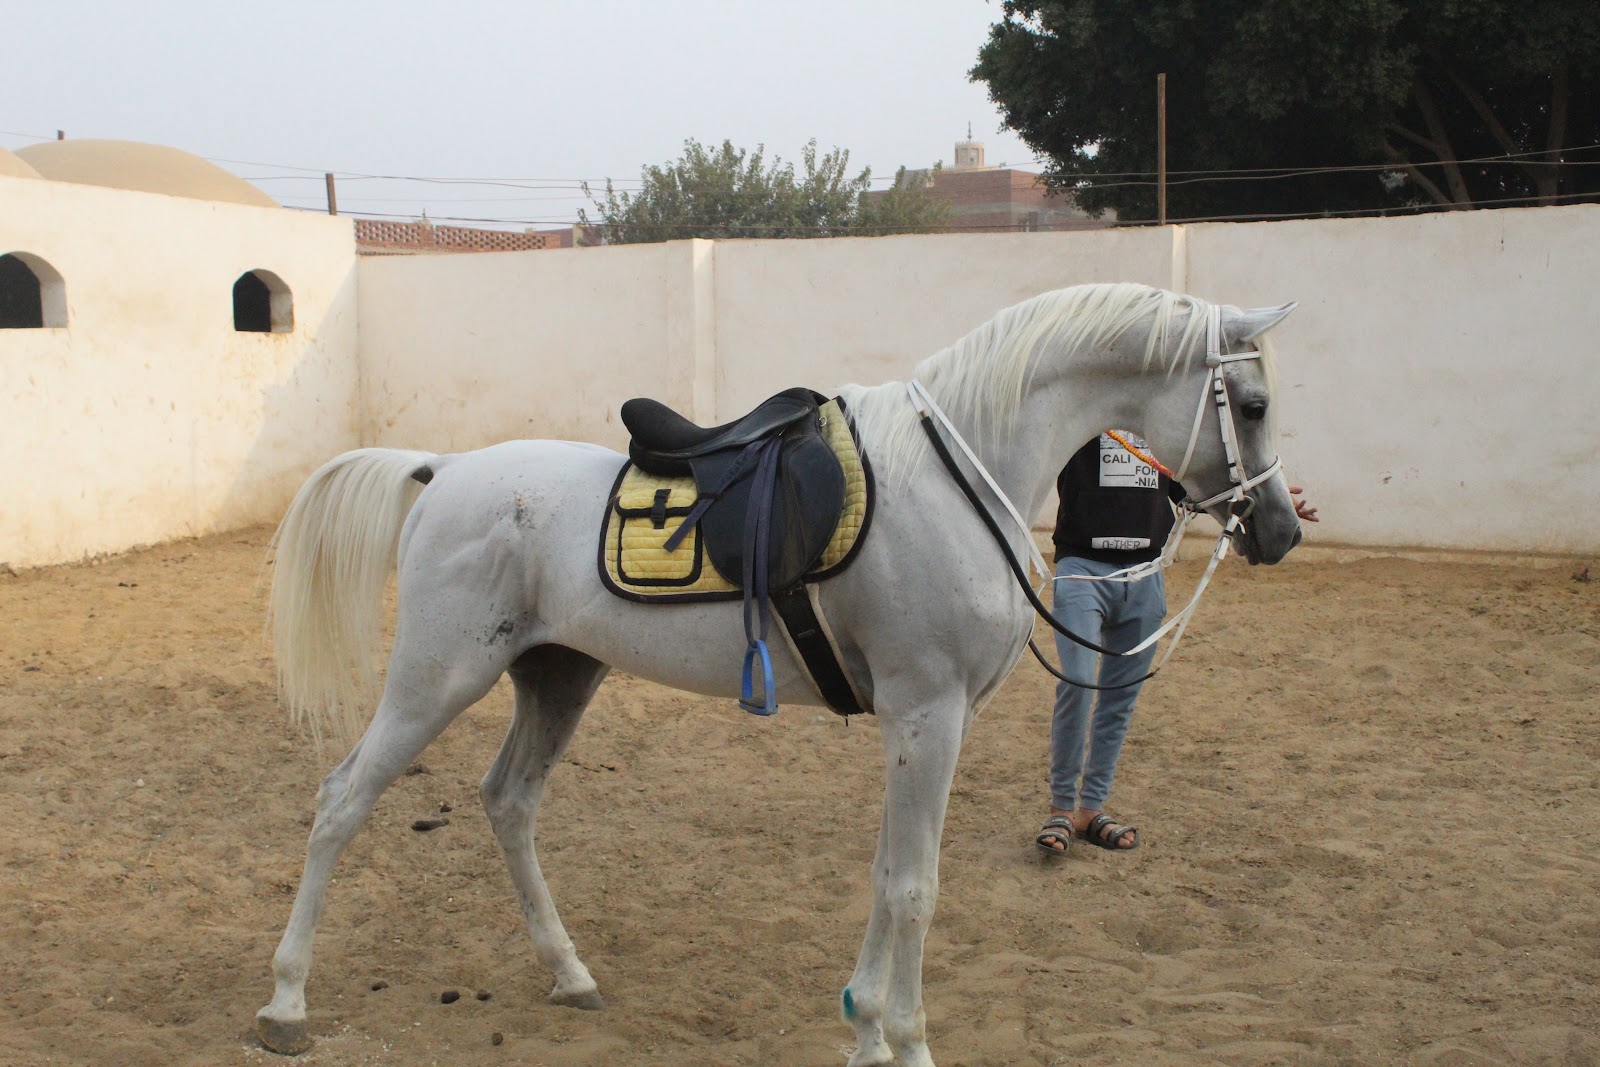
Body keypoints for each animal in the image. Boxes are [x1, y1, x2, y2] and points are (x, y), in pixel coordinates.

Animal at [254, 282, 1303, 1066]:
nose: (1282, 530)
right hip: (438, 676)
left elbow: (886, 872)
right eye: (1250, 405)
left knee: (508, 801)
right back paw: (286, 1002)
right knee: (341, 799)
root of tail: (446, 470)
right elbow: (915, 885)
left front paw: (865, 1028)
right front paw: (908, 1040)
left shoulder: (925, 722)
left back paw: (570, 972)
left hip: (557, 675)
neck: (962, 475)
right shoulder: (927, 714)